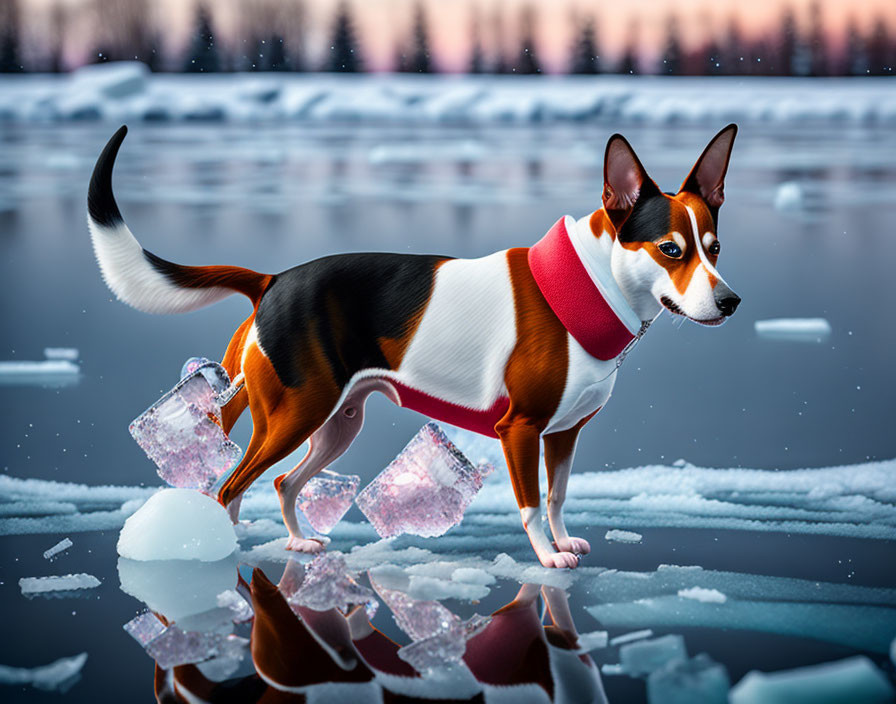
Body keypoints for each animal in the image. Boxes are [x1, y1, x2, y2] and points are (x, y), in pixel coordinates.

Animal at [87, 124, 740, 568]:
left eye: (714, 248)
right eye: (670, 250)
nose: (730, 301)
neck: (586, 286)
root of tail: (273, 280)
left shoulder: (563, 434)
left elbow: (556, 498)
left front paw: (562, 540)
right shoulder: (521, 429)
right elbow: (532, 503)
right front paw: (547, 557)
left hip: (336, 422)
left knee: (282, 483)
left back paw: (298, 540)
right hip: (295, 414)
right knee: (230, 485)